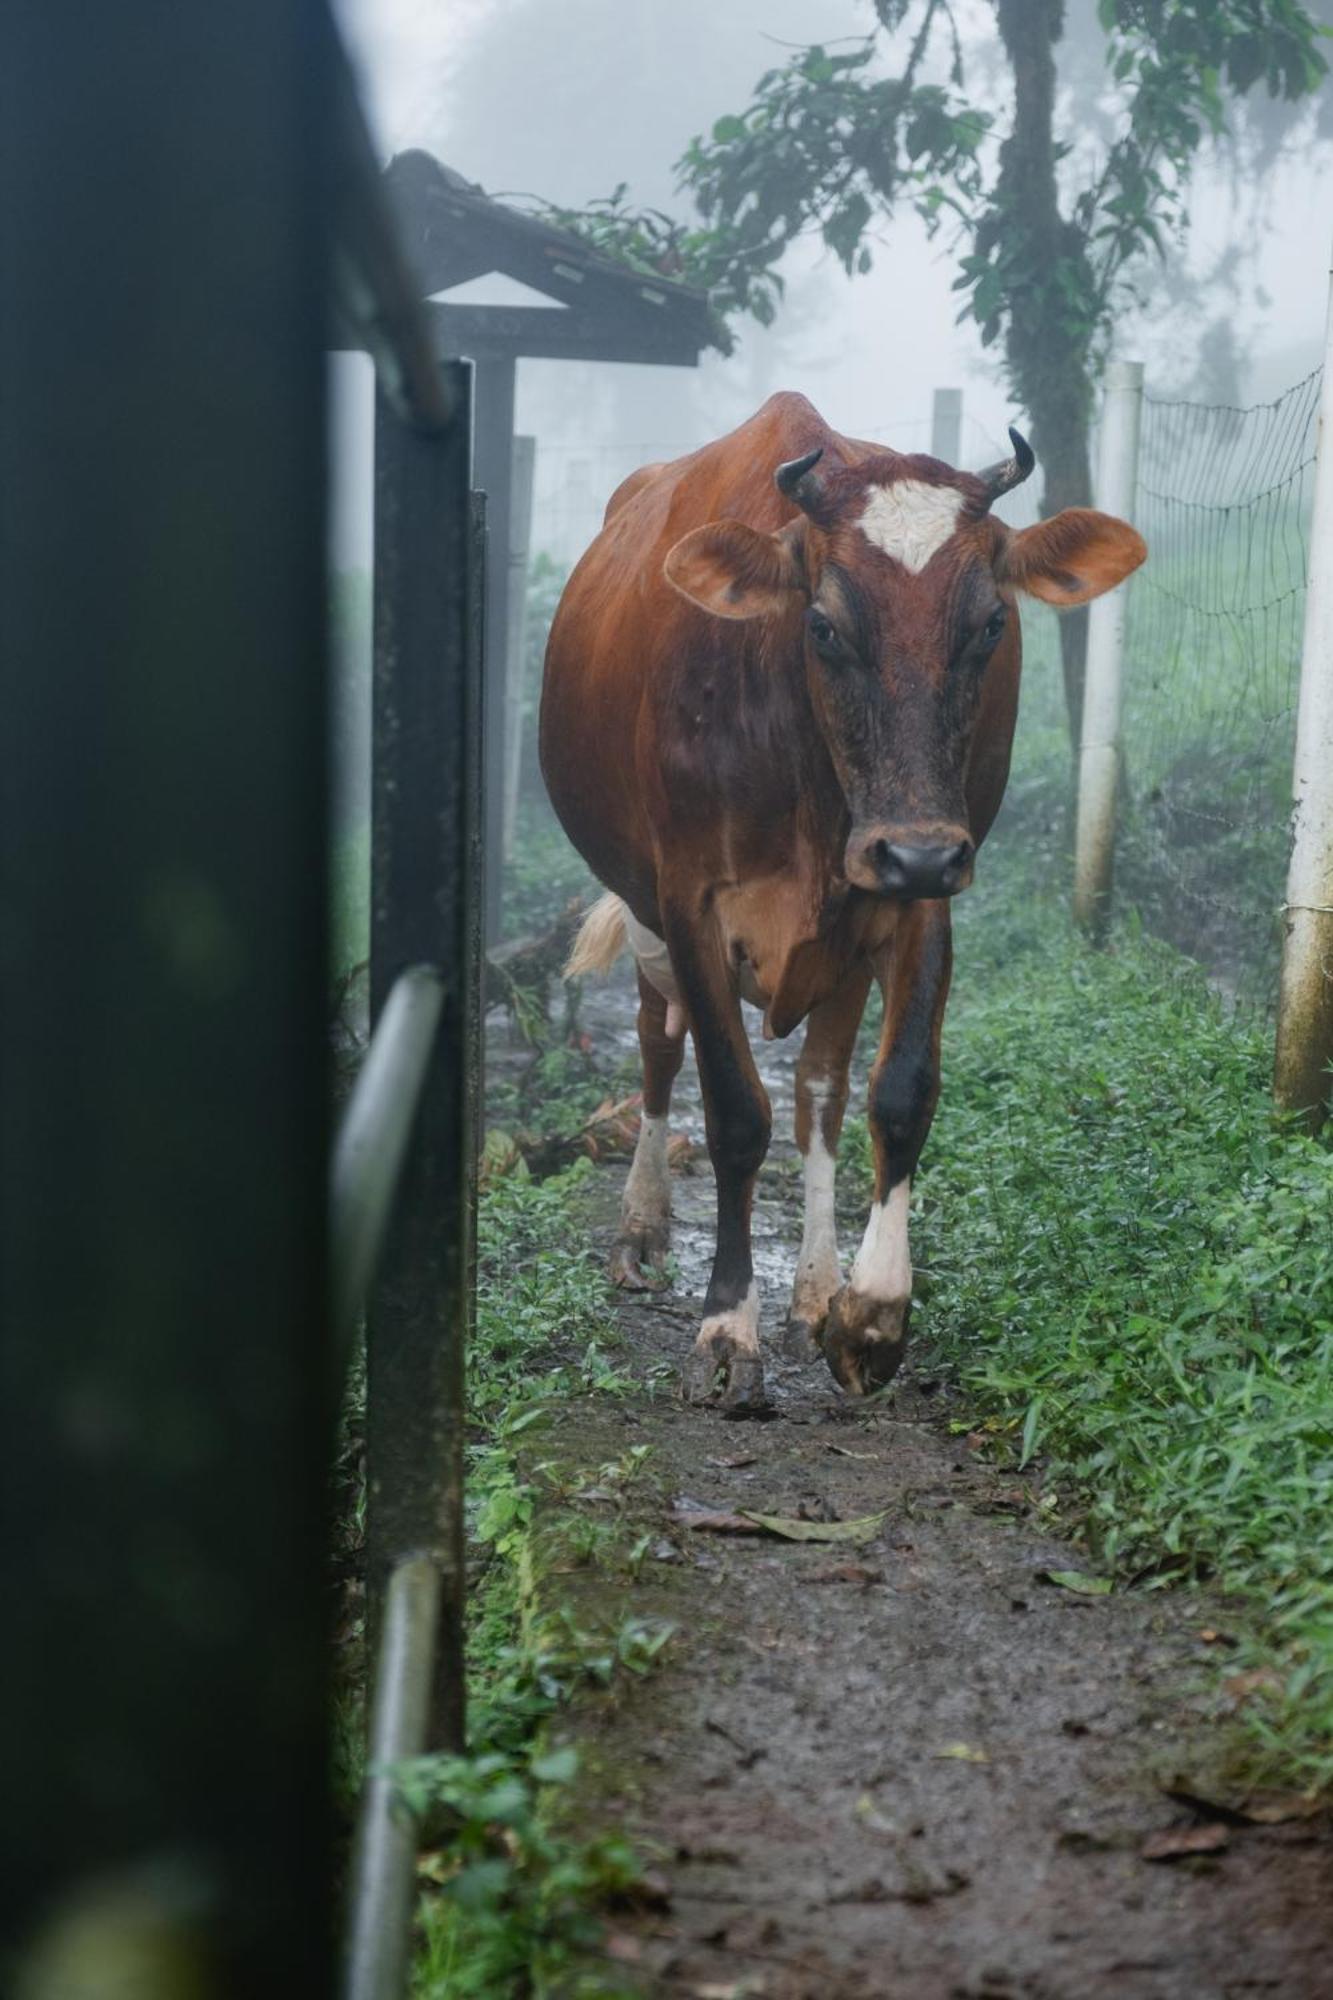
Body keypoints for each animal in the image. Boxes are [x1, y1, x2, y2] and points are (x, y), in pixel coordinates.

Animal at [536, 390, 1136, 1408]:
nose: (916, 850)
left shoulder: (920, 894)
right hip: (645, 909)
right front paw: (725, 1330)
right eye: (822, 627)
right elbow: (734, 1111)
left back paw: (814, 1288)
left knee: (818, 1090)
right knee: (659, 1048)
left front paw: (869, 1313)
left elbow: (894, 1094)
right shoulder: (688, 899)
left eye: (990, 625)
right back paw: (642, 1229)